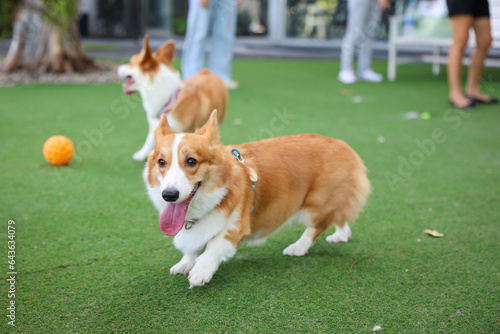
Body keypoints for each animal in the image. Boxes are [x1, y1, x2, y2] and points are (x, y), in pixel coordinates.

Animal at [143, 111, 370, 288]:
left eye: (191, 161)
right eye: (161, 162)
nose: (169, 195)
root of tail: (343, 145)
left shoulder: (235, 227)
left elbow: (214, 245)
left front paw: (201, 271)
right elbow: (192, 246)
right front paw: (185, 263)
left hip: (316, 203)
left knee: (317, 226)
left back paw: (298, 247)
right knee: (340, 216)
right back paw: (341, 235)